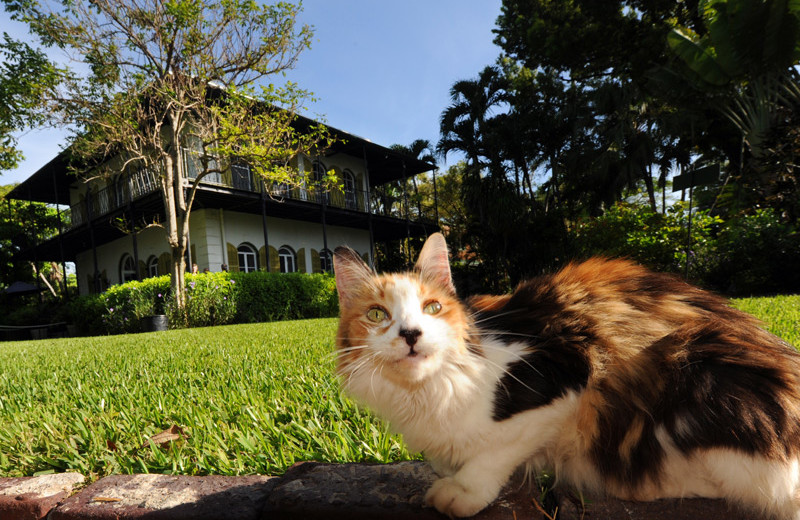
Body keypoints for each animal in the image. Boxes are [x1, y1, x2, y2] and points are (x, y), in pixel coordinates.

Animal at [334, 234, 800, 516]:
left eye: (432, 308)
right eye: (377, 315)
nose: (411, 334)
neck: (426, 391)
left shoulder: (565, 383)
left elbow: (493, 456)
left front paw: (462, 492)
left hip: (698, 367)